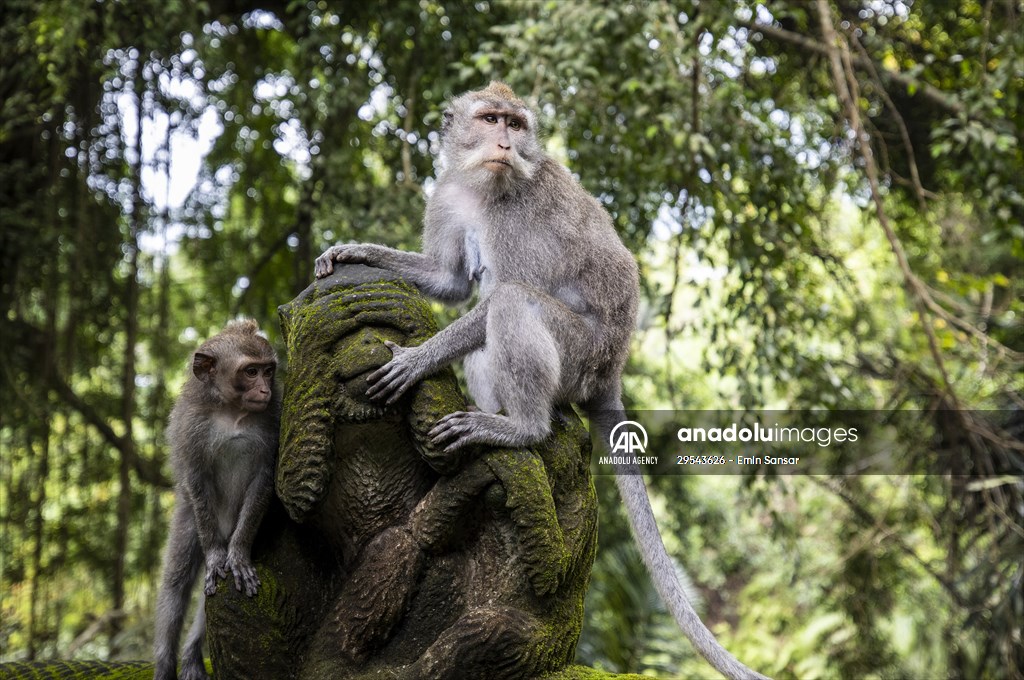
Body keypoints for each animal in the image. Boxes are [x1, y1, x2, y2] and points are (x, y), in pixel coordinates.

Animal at [153, 319, 279, 680]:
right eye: (251, 372)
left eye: (268, 371)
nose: (264, 390)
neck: (232, 411)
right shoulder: (191, 426)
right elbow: (196, 477)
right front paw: (213, 556)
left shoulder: (273, 419)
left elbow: (263, 479)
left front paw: (237, 555)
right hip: (189, 518)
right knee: (177, 582)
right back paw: (166, 664)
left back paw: (192, 655)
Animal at [313, 82, 767, 680]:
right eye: (490, 119)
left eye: (515, 123)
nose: (505, 142)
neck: (483, 187)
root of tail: (612, 368)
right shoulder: (447, 194)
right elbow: (450, 281)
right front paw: (357, 251)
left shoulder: (519, 216)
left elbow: (494, 296)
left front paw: (415, 361)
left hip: (580, 354)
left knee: (509, 303)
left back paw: (522, 429)